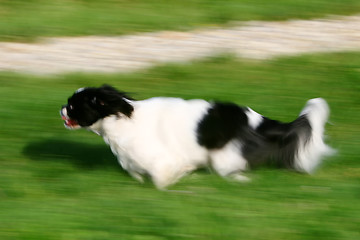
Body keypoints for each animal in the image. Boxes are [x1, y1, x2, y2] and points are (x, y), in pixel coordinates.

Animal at [60, 85, 334, 189]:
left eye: (73, 106)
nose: (61, 108)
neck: (122, 116)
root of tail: (258, 120)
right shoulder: (132, 159)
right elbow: (135, 172)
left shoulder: (161, 158)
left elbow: (160, 179)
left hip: (224, 157)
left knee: (231, 171)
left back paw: (241, 180)